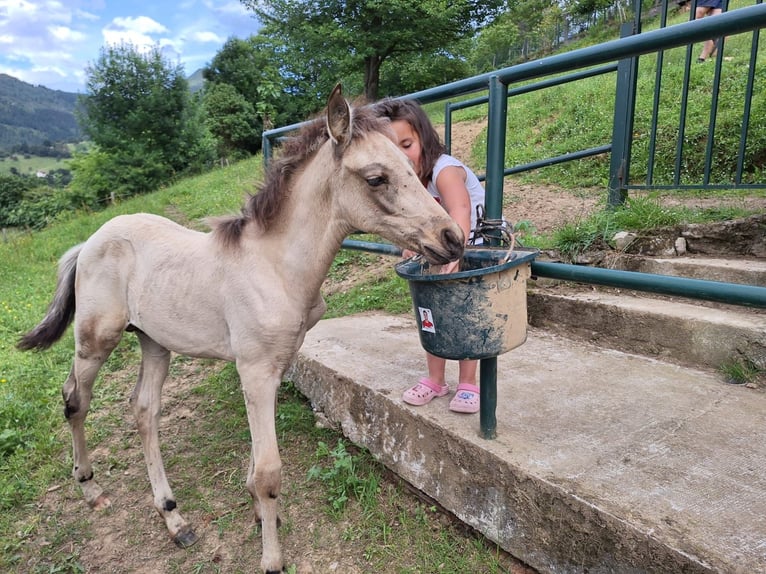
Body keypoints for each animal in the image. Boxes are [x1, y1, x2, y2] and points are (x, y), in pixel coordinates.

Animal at [17, 84, 464, 573]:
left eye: (409, 160)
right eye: (376, 178)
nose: (453, 238)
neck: (275, 266)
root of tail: (88, 242)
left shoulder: (275, 365)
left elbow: (256, 461)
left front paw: (259, 514)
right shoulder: (254, 369)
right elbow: (269, 471)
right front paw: (271, 557)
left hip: (154, 342)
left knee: (144, 410)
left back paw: (174, 517)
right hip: (96, 340)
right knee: (75, 401)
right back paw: (91, 489)